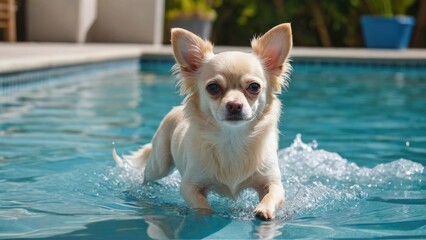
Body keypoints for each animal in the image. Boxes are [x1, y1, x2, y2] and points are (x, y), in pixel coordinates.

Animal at [113, 23, 292, 219]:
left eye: (254, 87)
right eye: (213, 87)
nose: (234, 105)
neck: (232, 139)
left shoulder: (273, 182)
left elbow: (272, 194)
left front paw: (264, 210)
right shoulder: (190, 186)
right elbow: (202, 206)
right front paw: (206, 216)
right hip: (160, 163)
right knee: (148, 175)